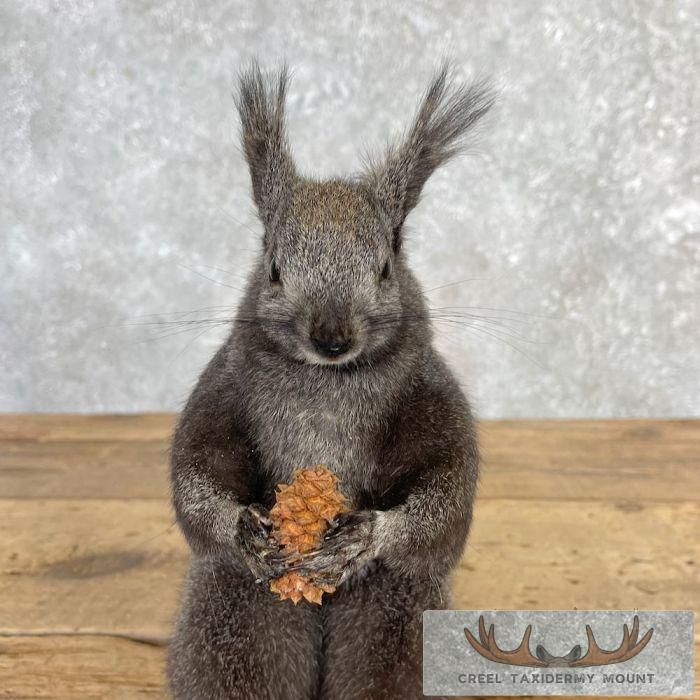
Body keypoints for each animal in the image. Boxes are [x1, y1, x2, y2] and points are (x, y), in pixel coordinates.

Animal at [167, 62, 494, 699]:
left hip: (397, 612)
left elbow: (446, 503)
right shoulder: (222, 389)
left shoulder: (432, 395)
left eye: (387, 266)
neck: (326, 384)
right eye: (273, 268)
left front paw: (369, 536)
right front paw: (241, 529)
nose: (331, 338)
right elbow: (194, 476)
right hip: (235, 619)